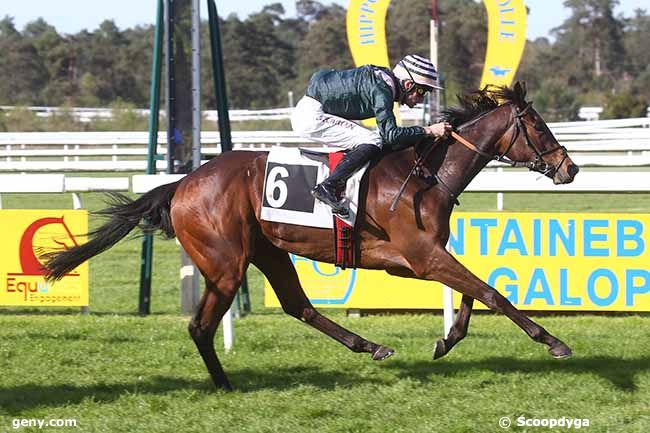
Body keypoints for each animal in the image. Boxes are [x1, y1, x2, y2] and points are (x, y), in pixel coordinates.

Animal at [44, 81, 576, 388]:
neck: (426, 171)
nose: (569, 168)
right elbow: (492, 292)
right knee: (201, 326)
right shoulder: (421, 256)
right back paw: (224, 384)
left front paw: (447, 339)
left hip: (269, 251)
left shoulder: (414, 258)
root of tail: (184, 182)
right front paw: (552, 341)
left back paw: (370, 346)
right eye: (537, 126)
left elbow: (473, 292)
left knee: (297, 306)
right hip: (225, 263)